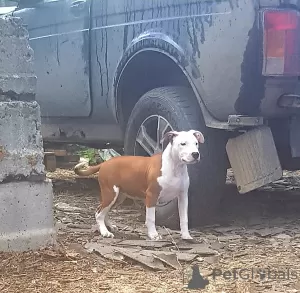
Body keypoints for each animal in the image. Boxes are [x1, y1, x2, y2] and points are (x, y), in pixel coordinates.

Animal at [73, 129, 204, 240]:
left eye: (196, 143)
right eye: (183, 144)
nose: (196, 154)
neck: (175, 167)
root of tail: (104, 163)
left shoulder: (183, 197)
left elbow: (184, 218)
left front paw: (186, 235)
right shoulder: (152, 195)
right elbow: (151, 218)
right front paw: (153, 235)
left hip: (118, 197)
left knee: (105, 212)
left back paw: (109, 227)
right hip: (110, 193)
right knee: (99, 213)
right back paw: (105, 232)